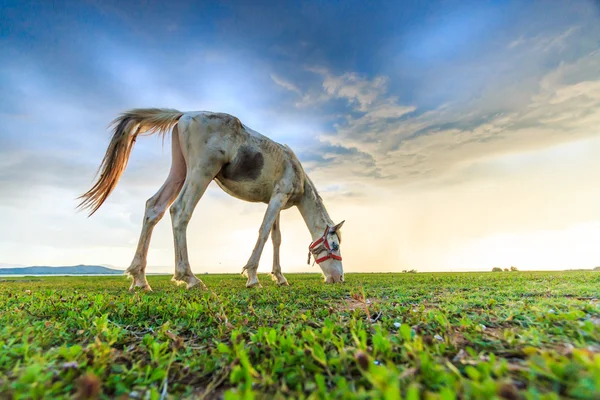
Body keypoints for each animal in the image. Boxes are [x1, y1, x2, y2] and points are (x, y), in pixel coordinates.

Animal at [77, 108, 344, 290]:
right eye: (335, 245)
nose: (339, 278)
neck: (297, 171)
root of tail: (184, 115)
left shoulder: (274, 200)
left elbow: (276, 238)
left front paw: (279, 277)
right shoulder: (278, 197)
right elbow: (263, 232)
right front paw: (252, 276)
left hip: (180, 171)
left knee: (154, 207)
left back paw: (140, 278)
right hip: (201, 172)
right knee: (180, 210)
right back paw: (189, 277)